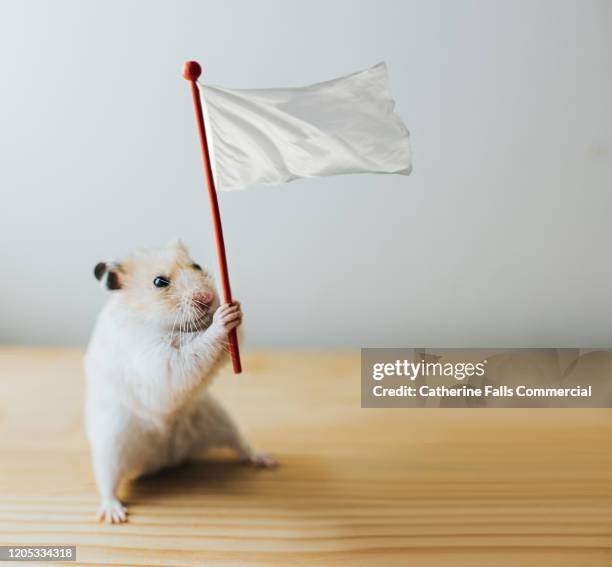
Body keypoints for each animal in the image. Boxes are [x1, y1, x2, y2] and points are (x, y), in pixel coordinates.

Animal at [83, 239, 278, 524]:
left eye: (196, 265)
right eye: (160, 282)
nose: (207, 298)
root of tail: (166, 460)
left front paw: (234, 307)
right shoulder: (157, 361)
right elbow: (191, 352)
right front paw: (221, 319)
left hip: (220, 420)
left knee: (241, 446)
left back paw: (266, 460)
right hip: (112, 445)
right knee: (107, 481)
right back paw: (114, 514)